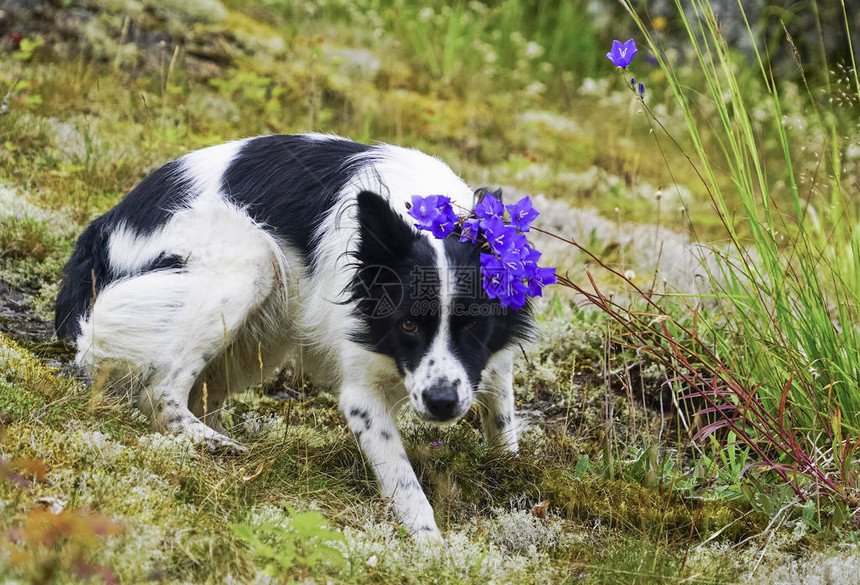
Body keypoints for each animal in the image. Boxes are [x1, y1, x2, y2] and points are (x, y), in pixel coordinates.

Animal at [55, 135, 532, 536]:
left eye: (474, 325)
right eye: (409, 325)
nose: (441, 403)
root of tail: (102, 229)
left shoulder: (492, 362)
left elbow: (502, 421)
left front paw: (513, 475)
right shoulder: (361, 393)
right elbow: (402, 477)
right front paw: (430, 544)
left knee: (199, 392)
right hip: (251, 261)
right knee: (160, 392)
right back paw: (217, 446)